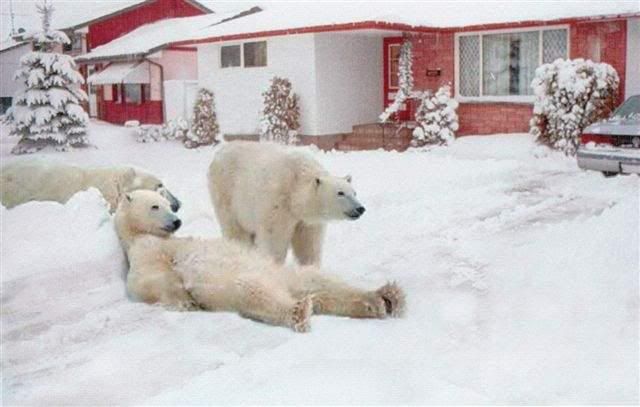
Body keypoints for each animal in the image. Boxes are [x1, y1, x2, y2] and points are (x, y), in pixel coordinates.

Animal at [115, 190, 404, 332]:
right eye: (155, 206)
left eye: (168, 205)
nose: (176, 221)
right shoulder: (145, 253)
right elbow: (152, 281)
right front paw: (185, 301)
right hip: (234, 283)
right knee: (254, 291)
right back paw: (299, 310)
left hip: (286, 274)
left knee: (321, 281)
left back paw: (385, 296)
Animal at [206, 142, 362, 266]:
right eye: (340, 193)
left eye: (354, 193)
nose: (360, 208)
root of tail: (218, 153)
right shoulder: (277, 204)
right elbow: (274, 240)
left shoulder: (307, 222)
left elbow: (308, 245)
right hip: (227, 193)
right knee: (235, 231)